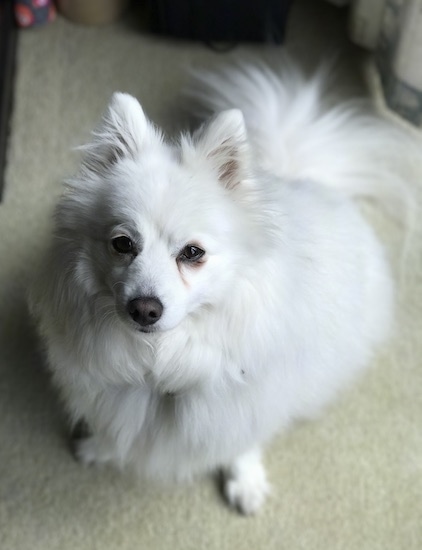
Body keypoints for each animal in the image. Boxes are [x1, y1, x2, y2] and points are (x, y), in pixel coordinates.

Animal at [28, 62, 406, 516]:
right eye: (122, 244)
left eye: (192, 253)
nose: (144, 309)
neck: (161, 364)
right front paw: (100, 448)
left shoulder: (246, 402)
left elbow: (242, 443)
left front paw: (246, 482)